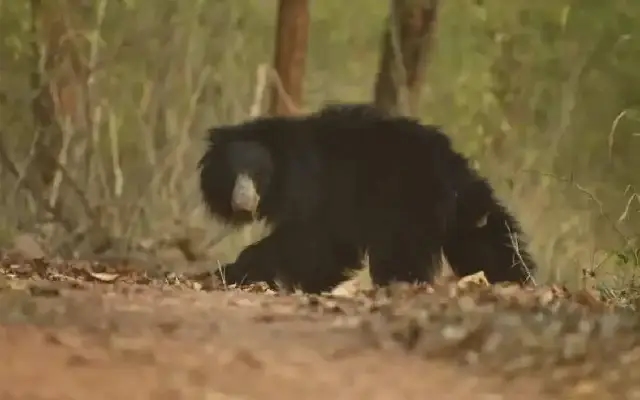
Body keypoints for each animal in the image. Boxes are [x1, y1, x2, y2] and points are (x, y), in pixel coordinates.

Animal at [198, 103, 537, 293]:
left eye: (258, 175)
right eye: (232, 175)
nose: (242, 204)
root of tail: (450, 163)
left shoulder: (318, 191)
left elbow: (310, 241)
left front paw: (229, 272)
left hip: (406, 202)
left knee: (400, 252)